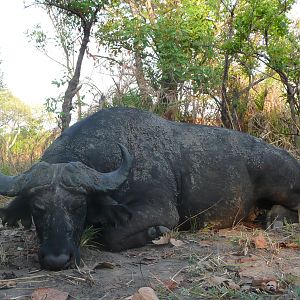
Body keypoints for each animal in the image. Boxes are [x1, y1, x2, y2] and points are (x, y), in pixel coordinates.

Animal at [0, 107, 298, 270]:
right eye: (38, 209)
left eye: (77, 206)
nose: (57, 259)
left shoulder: (160, 210)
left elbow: (111, 236)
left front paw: (157, 232)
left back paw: (276, 218)